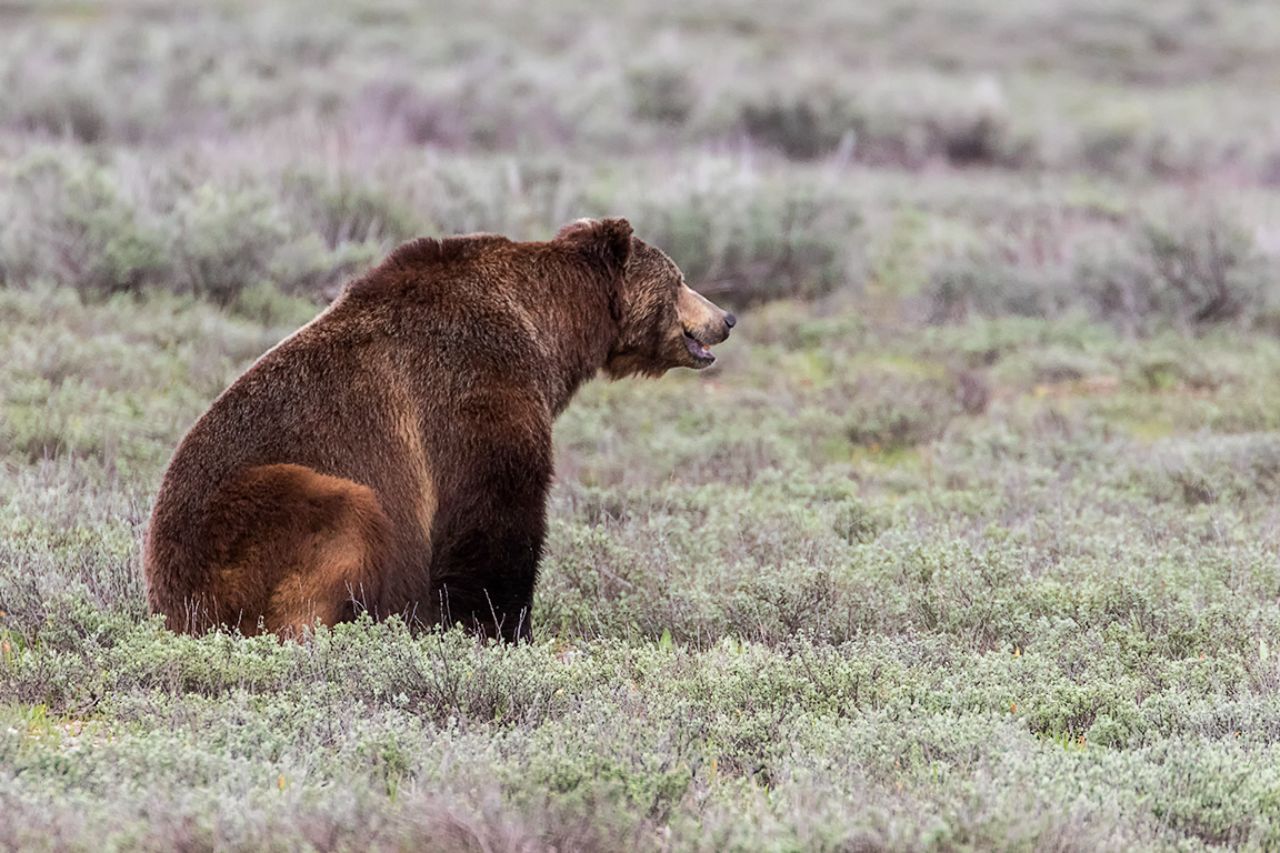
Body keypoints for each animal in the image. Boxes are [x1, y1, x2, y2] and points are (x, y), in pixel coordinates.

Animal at [144, 218, 735, 641]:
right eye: (680, 280)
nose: (726, 318)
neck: (549, 330)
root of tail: (168, 603)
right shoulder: (474, 386)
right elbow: (492, 516)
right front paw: (497, 627)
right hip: (244, 525)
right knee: (341, 515)